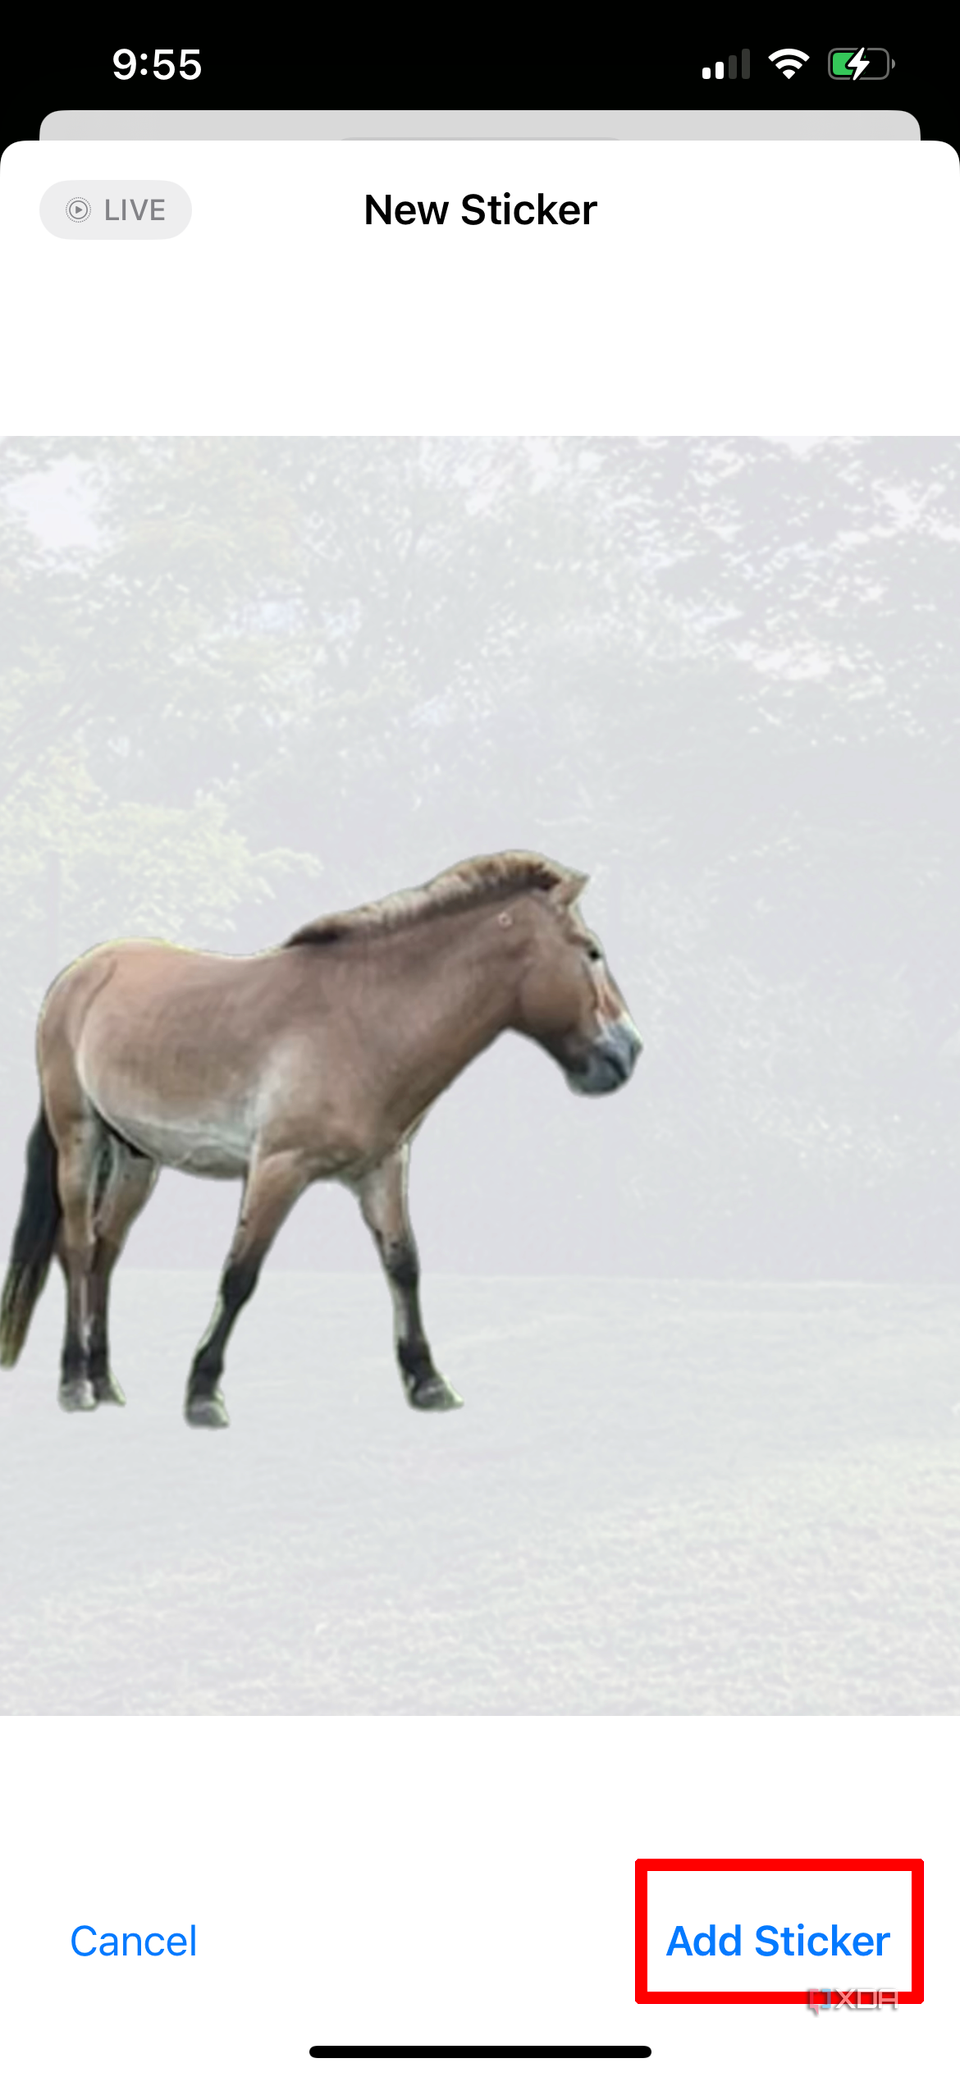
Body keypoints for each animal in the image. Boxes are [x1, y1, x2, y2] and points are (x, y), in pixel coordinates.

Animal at [0, 851, 641, 1426]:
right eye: (592, 951)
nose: (628, 1051)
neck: (363, 1022)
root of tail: (79, 975)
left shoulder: (382, 1169)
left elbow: (404, 1266)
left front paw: (428, 1381)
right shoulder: (278, 1167)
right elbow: (240, 1275)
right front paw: (203, 1393)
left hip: (137, 1157)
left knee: (105, 1254)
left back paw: (105, 1380)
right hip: (79, 1137)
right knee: (77, 1249)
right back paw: (75, 1383)